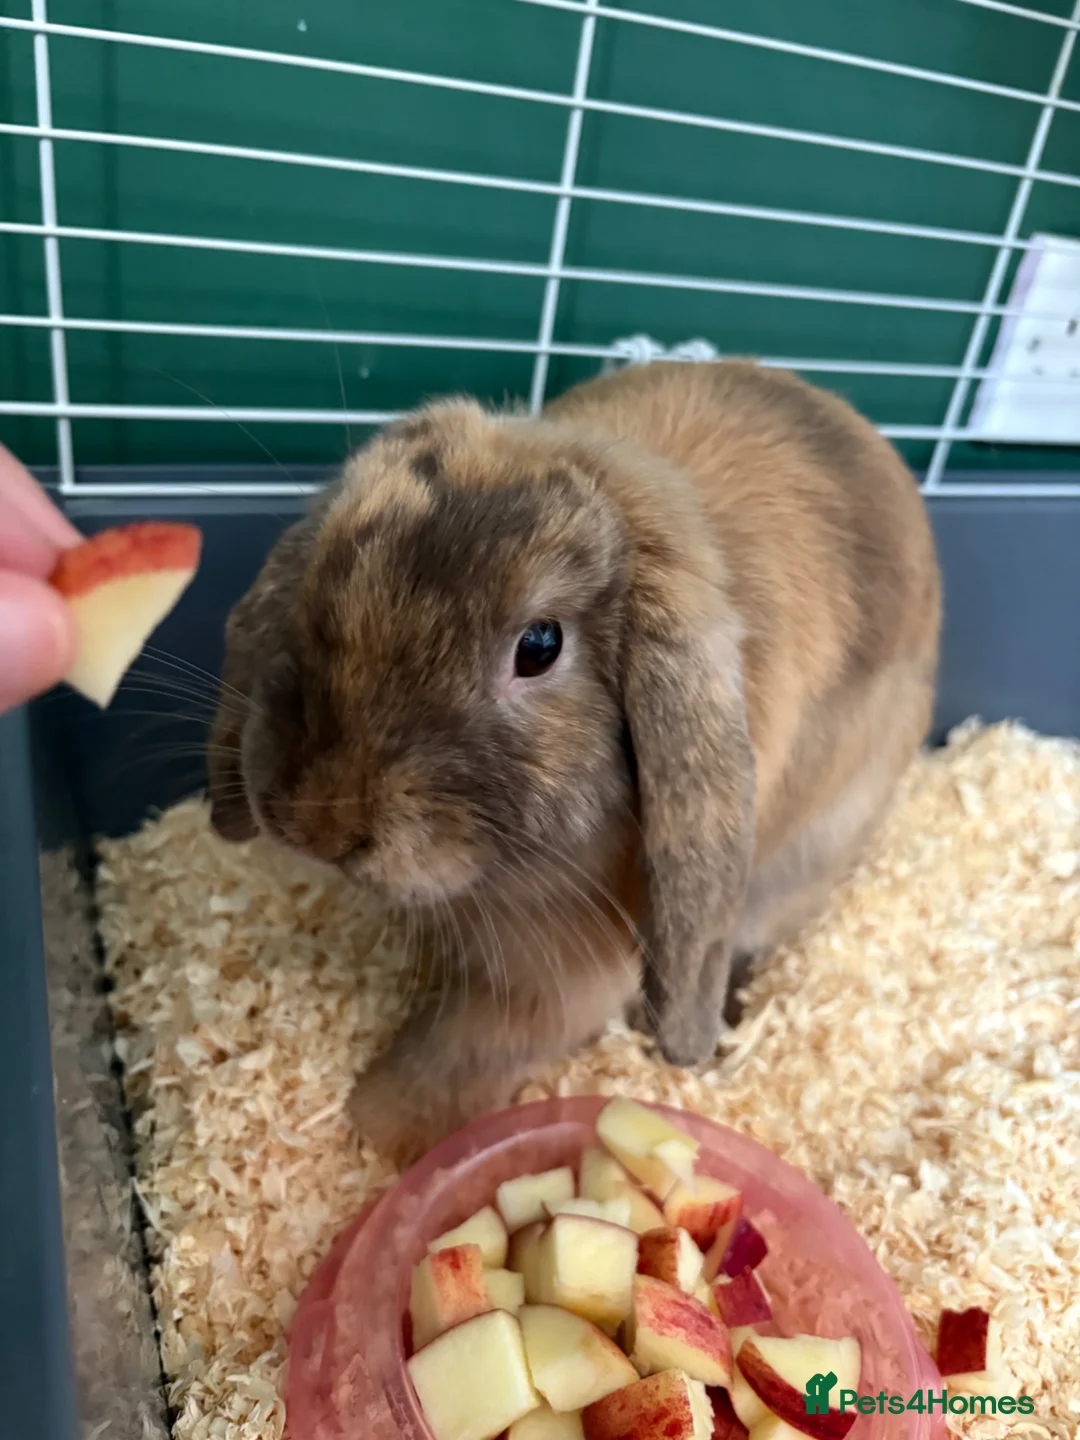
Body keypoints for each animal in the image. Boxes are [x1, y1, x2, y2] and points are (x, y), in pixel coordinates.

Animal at [208, 361, 941, 1167]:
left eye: (539, 647)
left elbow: (474, 1046)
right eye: (325, 577)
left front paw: (378, 1130)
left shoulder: (567, 970)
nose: (321, 824)